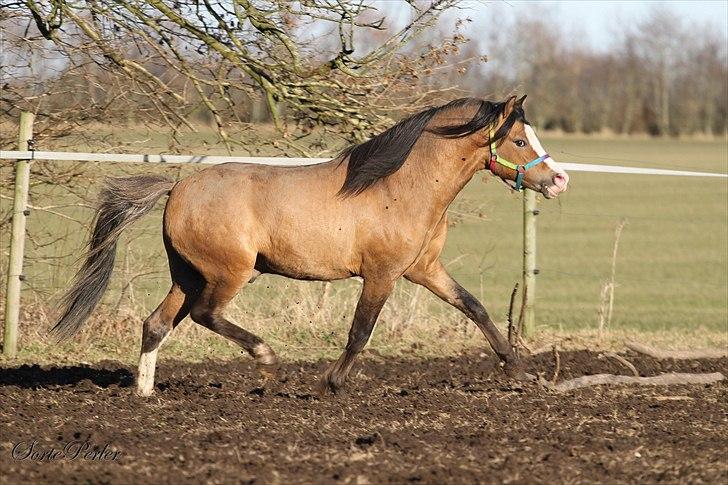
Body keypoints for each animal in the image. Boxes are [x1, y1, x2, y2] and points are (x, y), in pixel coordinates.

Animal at [49, 93, 568, 394]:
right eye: (520, 140)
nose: (558, 180)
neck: (403, 186)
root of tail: (176, 188)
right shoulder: (382, 274)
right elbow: (360, 332)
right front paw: (332, 383)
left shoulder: (424, 269)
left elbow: (474, 307)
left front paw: (518, 370)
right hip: (229, 273)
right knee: (204, 315)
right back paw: (266, 361)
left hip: (188, 274)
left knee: (156, 323)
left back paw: (144, 394)